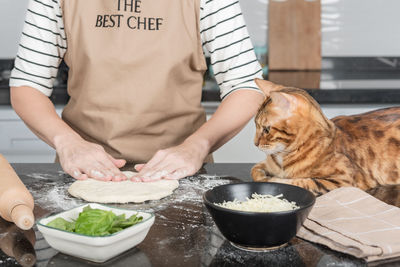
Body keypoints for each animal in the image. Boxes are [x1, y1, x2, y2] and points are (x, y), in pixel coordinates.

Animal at [252, 78, 400, 196]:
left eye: (266, 129)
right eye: (255, 125)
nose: (255, 143)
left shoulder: (343, 180)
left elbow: (298, 182)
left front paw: (273, 180)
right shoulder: (264, 165)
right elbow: (255, 170)